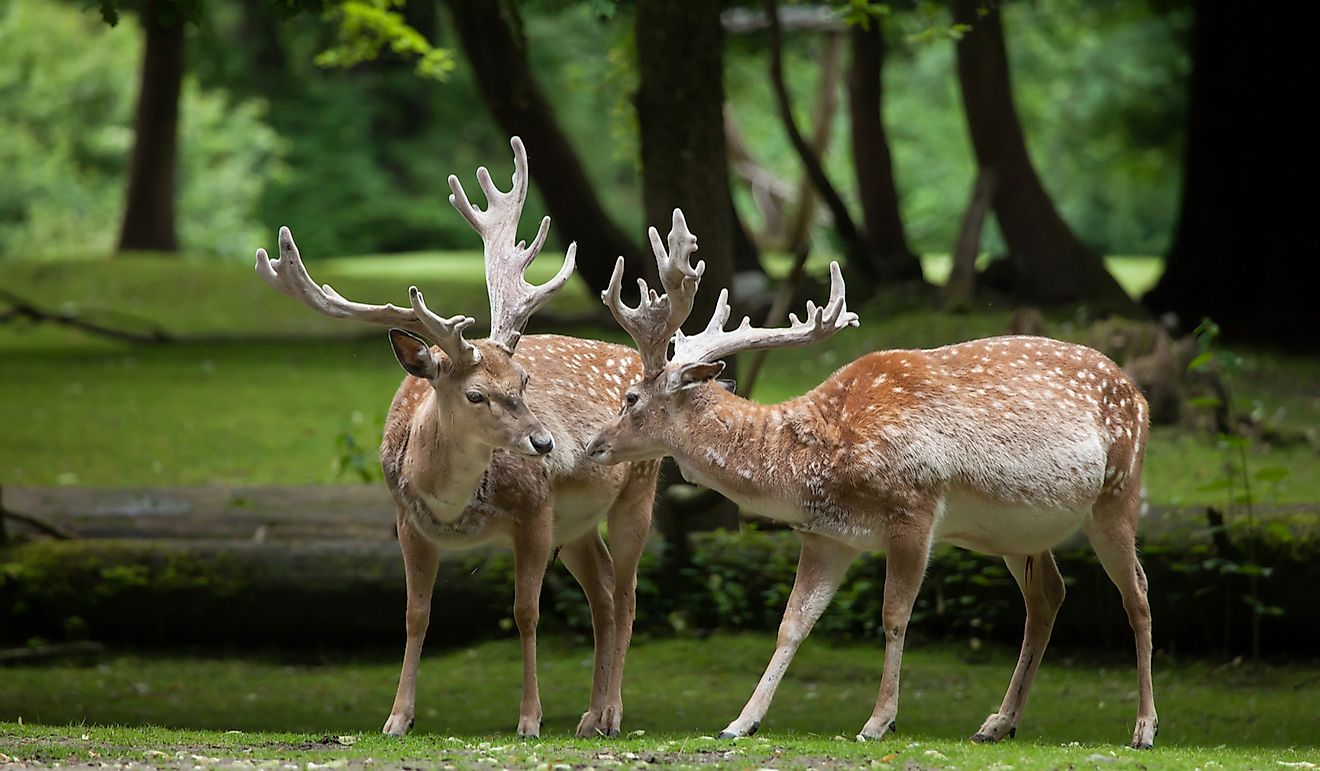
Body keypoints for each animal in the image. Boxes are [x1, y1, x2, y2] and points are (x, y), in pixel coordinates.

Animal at [254, 138, 657, 739]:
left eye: (524, 380)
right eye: (475, 394)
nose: (547, 445)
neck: (452, 506)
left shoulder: (535, 511)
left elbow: (526, 612)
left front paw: (529, 719)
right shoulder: (407, 521)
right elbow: (415, 615)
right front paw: (397, 718)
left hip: (639, 485)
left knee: (628, 593)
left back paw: (609, 713)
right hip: (579, 523)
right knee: (604, 589)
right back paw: (589, 716)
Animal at [588, 209, 1156, 744]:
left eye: (630, 398)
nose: (595, 445)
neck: (823, 462)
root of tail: (1140, 395)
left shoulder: (915, 508)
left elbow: (894, 615)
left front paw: (879, 721)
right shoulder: (826, 536)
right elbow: (791, 624)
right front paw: (740, 722)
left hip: (1119, 489)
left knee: (1138, 592)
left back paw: (1143, 729)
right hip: (1018, 532)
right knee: (1048, 596)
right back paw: (998, 723)